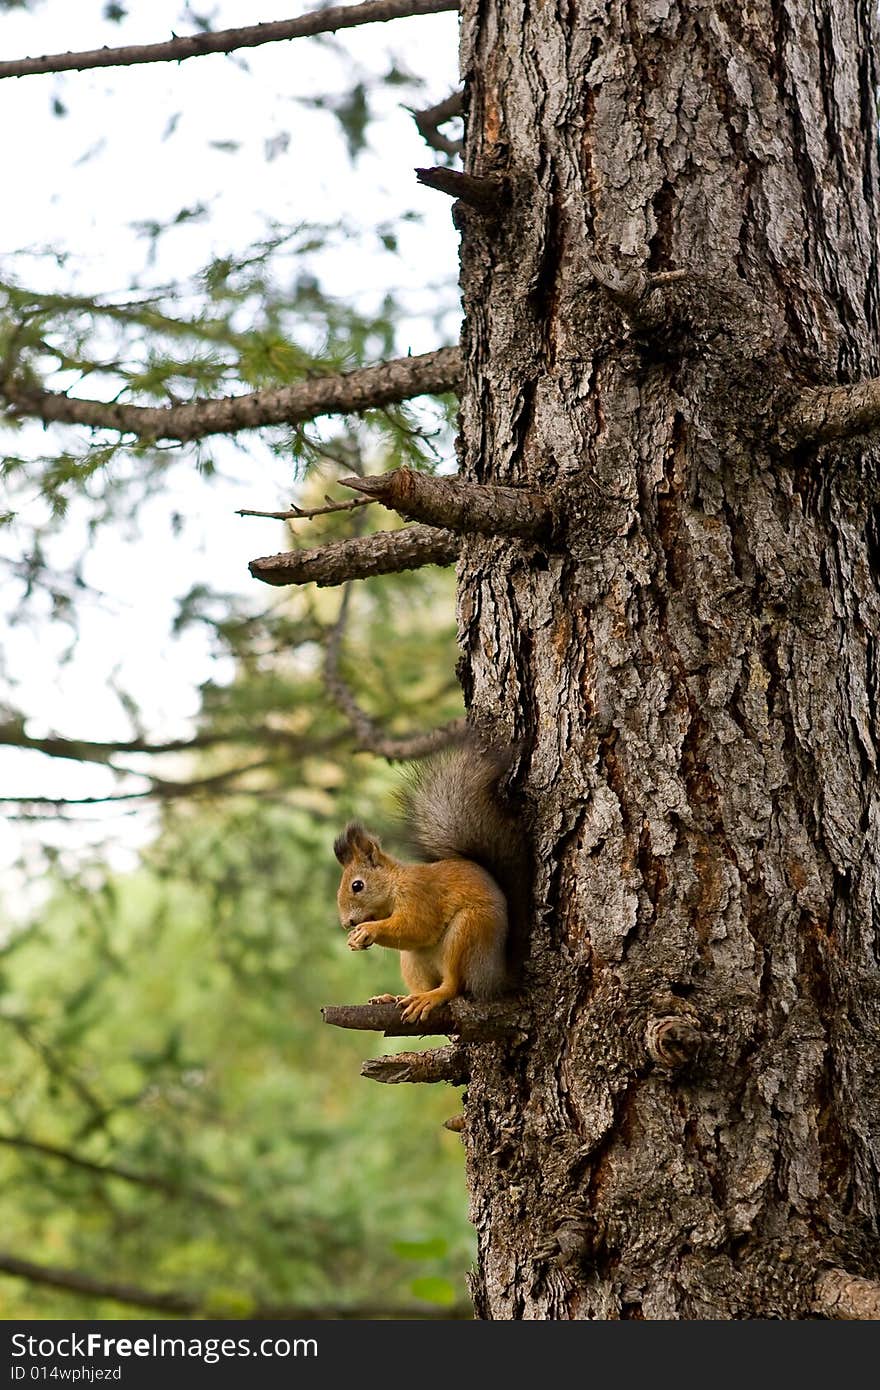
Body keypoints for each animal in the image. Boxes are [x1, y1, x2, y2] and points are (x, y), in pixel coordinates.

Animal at [332, 739, 517, 1023]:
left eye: (357, 885)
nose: (346, 923)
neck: (395, 885)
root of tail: (496, 975)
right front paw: (354, 938)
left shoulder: (420, 894)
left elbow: (418, 926)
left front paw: (368, 930)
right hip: (413, 960)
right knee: (421, 983)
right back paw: (396, 998)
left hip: (469, 932)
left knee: (453, 984)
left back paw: (432, 996)